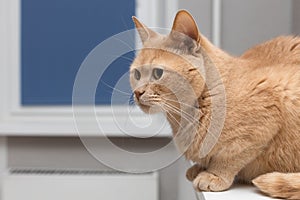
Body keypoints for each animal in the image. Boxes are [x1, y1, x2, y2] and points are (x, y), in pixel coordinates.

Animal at [130, 9, 300, 200]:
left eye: (158, 73)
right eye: (137, 74)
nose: (137, 92)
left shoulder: (270, 109)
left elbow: (231, 156)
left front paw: (214, 174)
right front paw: (199, 168)